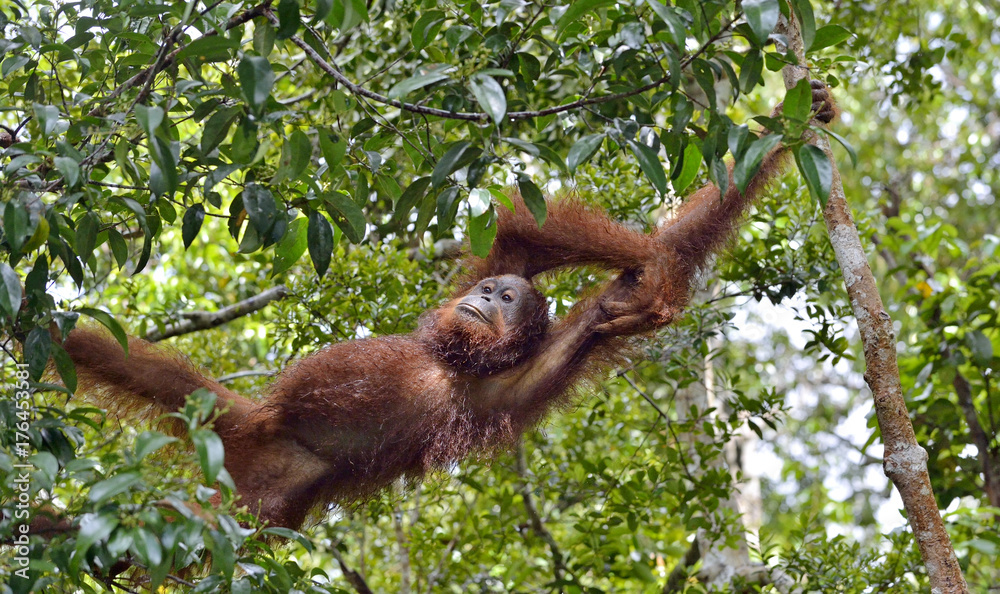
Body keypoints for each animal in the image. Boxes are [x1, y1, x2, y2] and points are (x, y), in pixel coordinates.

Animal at [55, 84, 836, 530]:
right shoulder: (494, 272)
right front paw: (795, 121)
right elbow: (525, 227)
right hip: (236, 425)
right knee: (114, 357)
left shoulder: (524, 373)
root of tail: (254, 446)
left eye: (504, 302)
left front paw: (660, 287)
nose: (483, 298)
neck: (449, 359)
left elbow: (603, 306)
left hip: (257, 493)